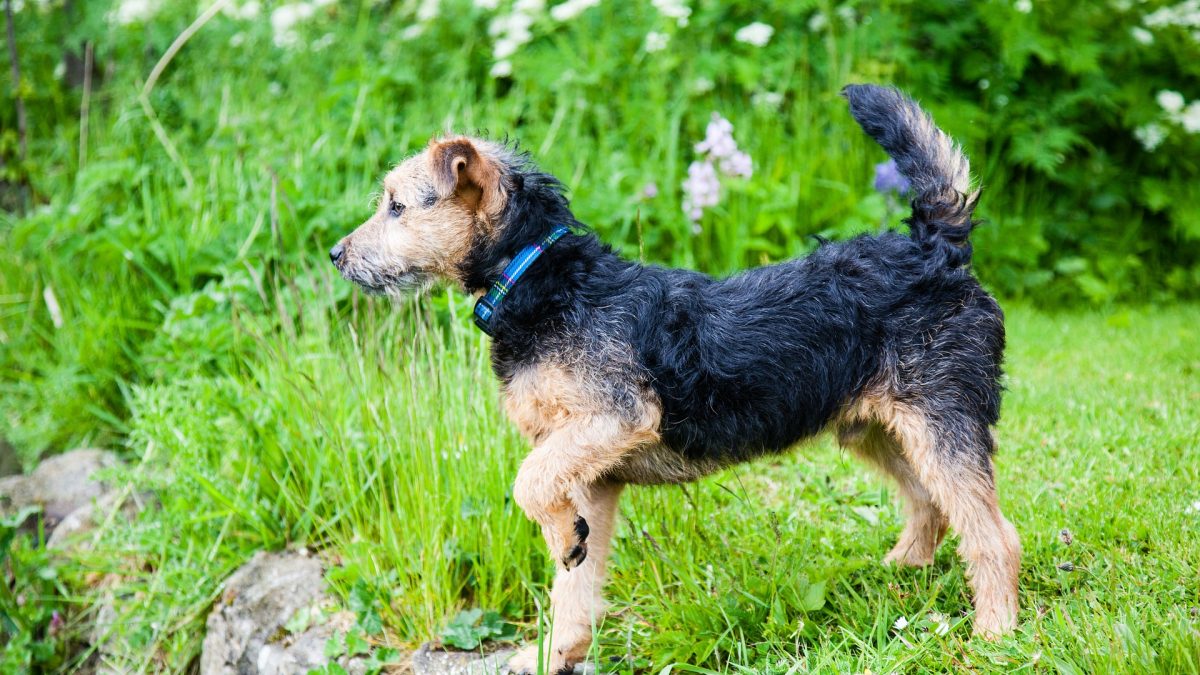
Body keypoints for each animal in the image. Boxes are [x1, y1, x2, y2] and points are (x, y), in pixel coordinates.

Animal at [331, 85, 1022, 672]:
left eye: (396, 205)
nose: (336, 254)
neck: (541, 280)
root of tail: (937, 247)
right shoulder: (591, 477)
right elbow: (572, 587)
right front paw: (555, 648)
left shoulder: (614, 418)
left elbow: (530, 485)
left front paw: (557, 551)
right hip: (879, 430)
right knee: (932, 508)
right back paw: (897, 577)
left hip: (941, 427)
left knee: (994, 535)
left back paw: (995, 634)